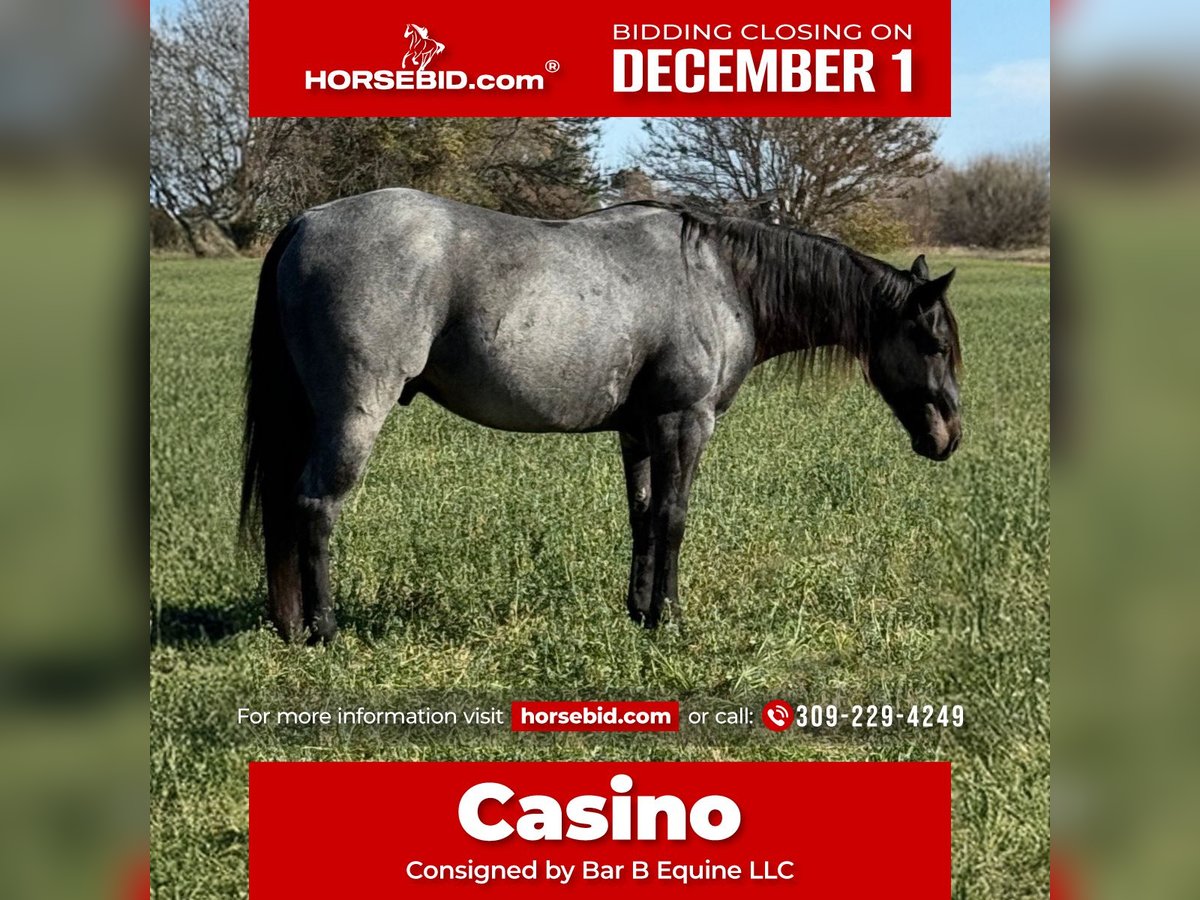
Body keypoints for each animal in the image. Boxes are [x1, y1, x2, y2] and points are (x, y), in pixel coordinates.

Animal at [240, 189, 962, 644]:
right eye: (933, 342)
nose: (949, 437)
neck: (720, 278)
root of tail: (306, 220)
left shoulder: (640, 431)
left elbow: (642, 519)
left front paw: (639, 612)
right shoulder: (684, 422)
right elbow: (673, 518)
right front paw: (669, 618)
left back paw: (292, 625)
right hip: (354, 412)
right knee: (315, 506)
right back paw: (325, 629)